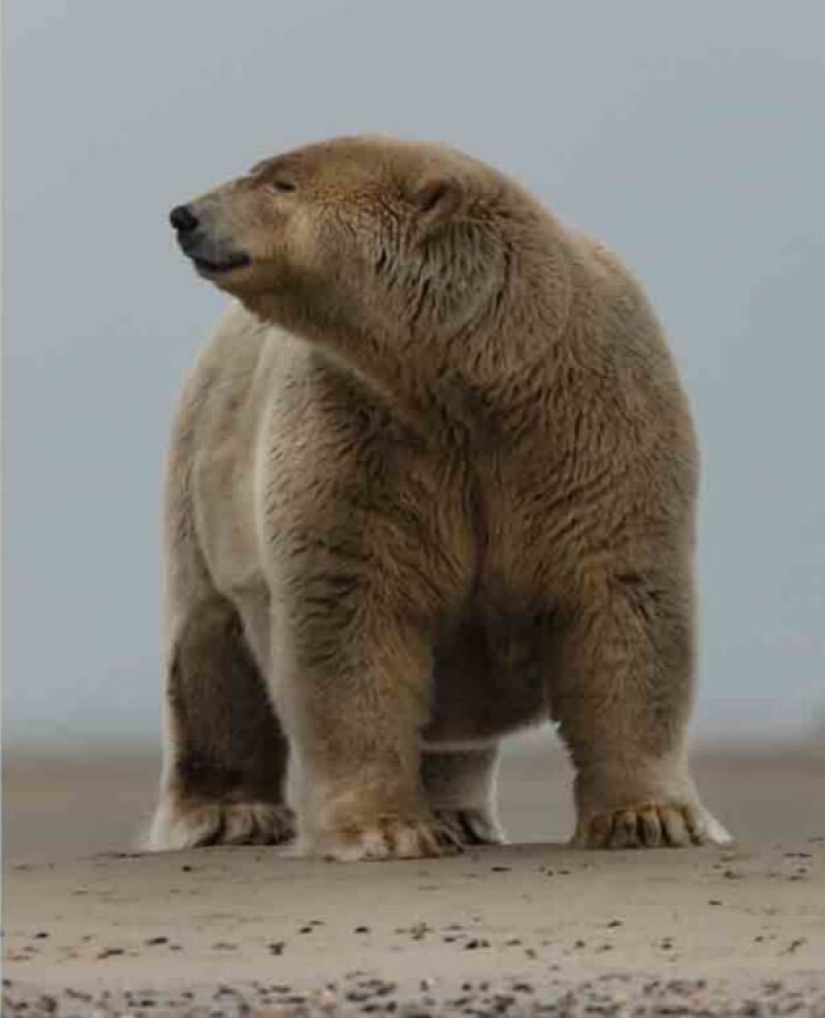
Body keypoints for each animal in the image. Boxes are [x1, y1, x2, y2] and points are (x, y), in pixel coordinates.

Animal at [148, 135, 731, 860]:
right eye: (261, 171)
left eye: (280, 183)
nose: (185, 215)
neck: (480, 378)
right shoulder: (361, 433)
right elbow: (352, 612)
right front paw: (384, 829)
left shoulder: (595, 425)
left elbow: (623, 601)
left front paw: (651, 817)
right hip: (204, 474)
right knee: (210, 652)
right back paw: (229, 815)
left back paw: (460, 814)